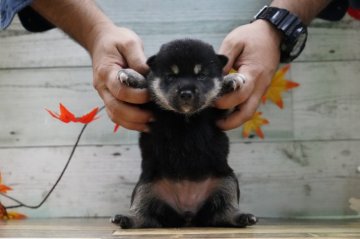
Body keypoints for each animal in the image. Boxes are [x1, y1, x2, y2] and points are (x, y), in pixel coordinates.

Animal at [112, 38, 256, 228]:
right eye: (171, 77)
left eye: (201, 75)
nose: (186, 93)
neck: (184, 116)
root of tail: (188, 214)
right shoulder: (147, 108)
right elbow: (145, 89)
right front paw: (132, 76)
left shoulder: (220, 112)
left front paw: (230, 80)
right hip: (145, 187)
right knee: (144, 215)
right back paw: (126, 218)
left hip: (227, 182)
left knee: (224, 212)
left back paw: (242, 217)